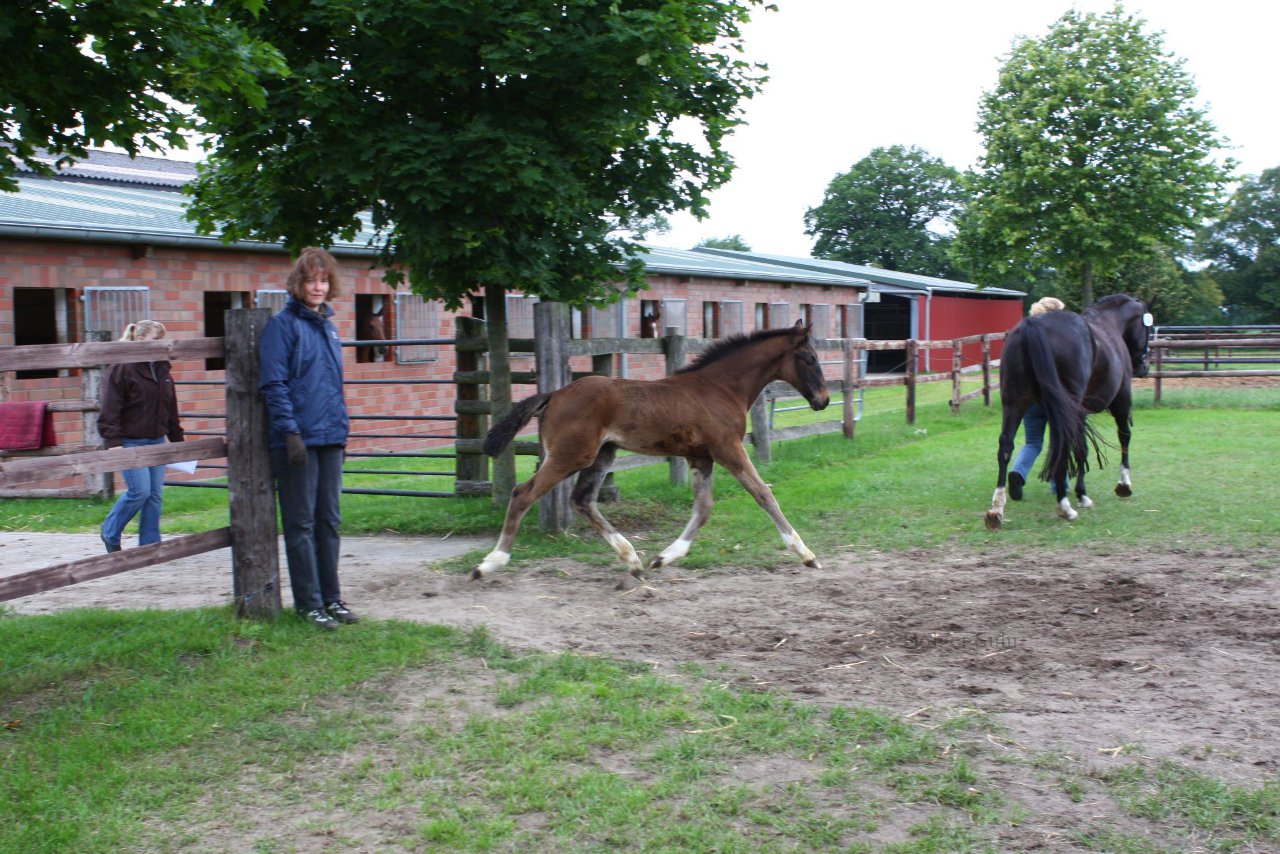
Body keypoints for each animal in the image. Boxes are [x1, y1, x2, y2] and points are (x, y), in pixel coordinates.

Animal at [478, 322, 829, 581]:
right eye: (810, 358)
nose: (823, 400)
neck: (722, 388)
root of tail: (553, 394)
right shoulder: (727, 448)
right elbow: (763, 494)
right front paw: (807, 555)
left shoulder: (700, 456)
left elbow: (703, 508)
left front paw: (664, 558)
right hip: (571, 455)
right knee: (523, 493)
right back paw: (490, 563)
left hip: (602, 454)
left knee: (582, 500)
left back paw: (632, 560)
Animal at [983, 291, 1157, 527]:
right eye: (1147, 326)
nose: (1144, 366)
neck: (1109, 324)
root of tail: (1032, 324)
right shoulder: (1120, 400)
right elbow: (1123, 436)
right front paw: (1123, 484)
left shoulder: (1077, 412)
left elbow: (1081, 446)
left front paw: (1081, 493)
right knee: (1063, 444)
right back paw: (1064, 507)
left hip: (1015, 402)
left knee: (1006, 445)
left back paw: (997, 508)